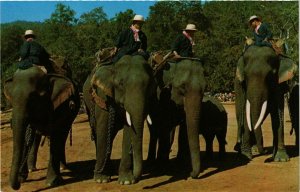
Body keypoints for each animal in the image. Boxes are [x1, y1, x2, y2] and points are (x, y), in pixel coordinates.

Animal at [83, 55, 156, 184]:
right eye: (121, 84)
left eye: (148, 85)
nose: (137, 178)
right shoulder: (102, 96)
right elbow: (103, 129)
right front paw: (101, 179)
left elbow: (129, 130)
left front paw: (127, 181)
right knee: (99, 134)